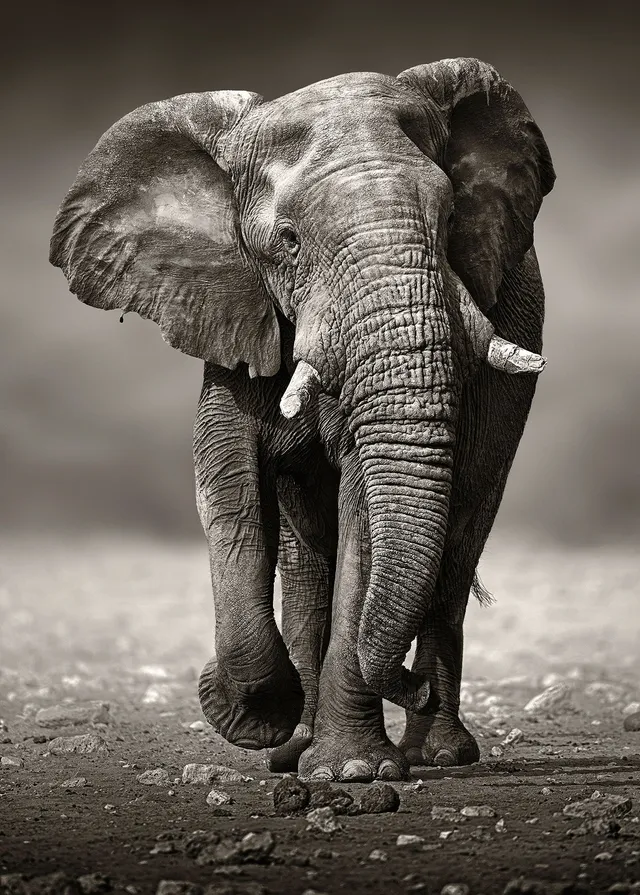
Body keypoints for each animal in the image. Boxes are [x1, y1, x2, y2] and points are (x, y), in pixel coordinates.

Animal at [50, 57, 555, 782]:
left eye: (451, 216)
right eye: (287, 242)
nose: (408, 686)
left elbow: (364, 504)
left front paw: (355, 772)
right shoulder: (234, 309)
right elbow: (228, 485)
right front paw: (256, 716)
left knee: (458, 536)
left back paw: (435, 753)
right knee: (308, 558)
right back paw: (297, 748)